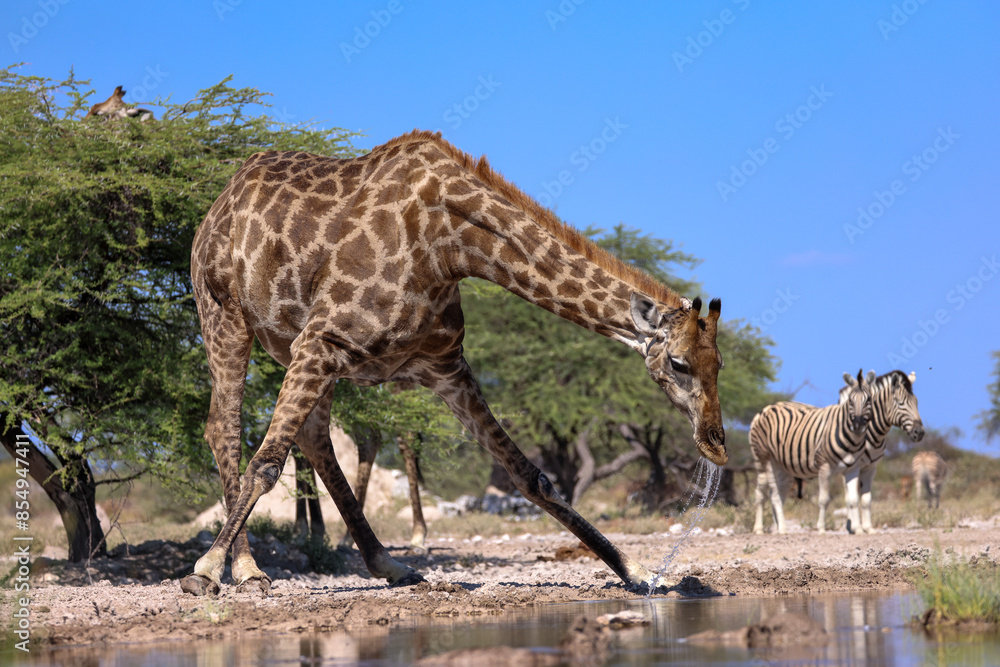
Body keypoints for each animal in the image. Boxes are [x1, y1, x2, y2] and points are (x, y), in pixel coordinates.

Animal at [180, 130, 726, 596]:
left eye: (719, 363)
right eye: (679, 363)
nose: (716, 444)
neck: (451, 245)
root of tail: (217, 205)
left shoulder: (443, 367)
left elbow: (531, 476)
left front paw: (637, 571)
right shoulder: (321, 340)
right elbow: (265, 464)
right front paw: (204, 570)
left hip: (297, 347)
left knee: (314, 438)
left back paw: (389, 563)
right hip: (225, 315)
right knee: (224, 426)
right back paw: (247, 569)